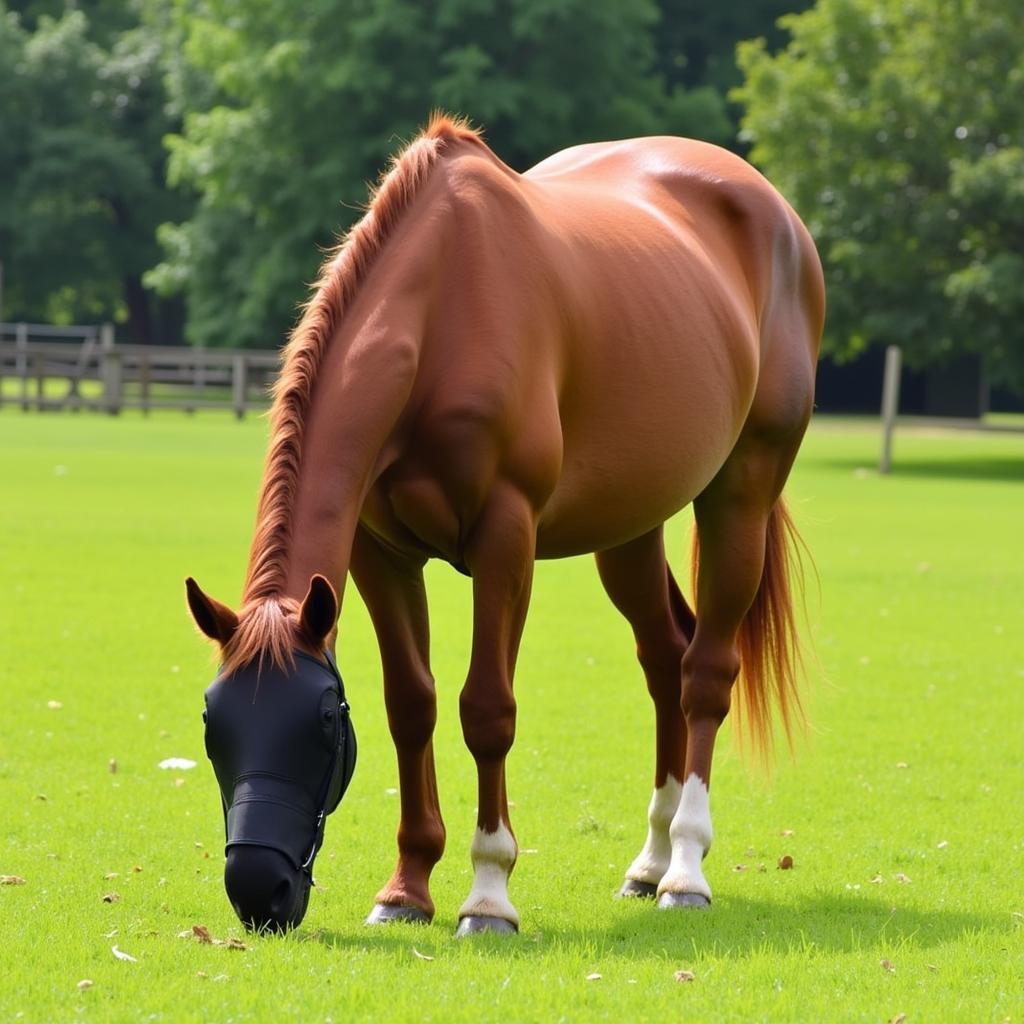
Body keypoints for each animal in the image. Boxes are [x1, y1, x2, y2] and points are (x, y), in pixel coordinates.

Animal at [186, 114, 823, 937]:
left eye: (323, 721)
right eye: (214, 723)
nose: (258, 892)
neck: (442, 311)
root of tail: (778, 217)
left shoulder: (505, 539)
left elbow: (486, 709)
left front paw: (488, 894)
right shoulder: (379, 554)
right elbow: (412, 705)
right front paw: (405, 889)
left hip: (739, 496)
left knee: (704, 674)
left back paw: (685, 870)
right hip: (629, 527)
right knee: (664, 659)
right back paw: (648, 864)